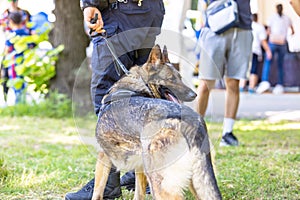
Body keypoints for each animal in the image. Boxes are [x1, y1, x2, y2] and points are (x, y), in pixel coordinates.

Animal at [92, 44, 221, 199]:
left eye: (179, 78)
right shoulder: (139, 166)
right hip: (197, 182)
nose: (194, 95)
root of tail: (194, 121)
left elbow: (97, 191)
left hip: (159, 182)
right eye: (172, 79)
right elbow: (139, 194)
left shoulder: (103, 156)